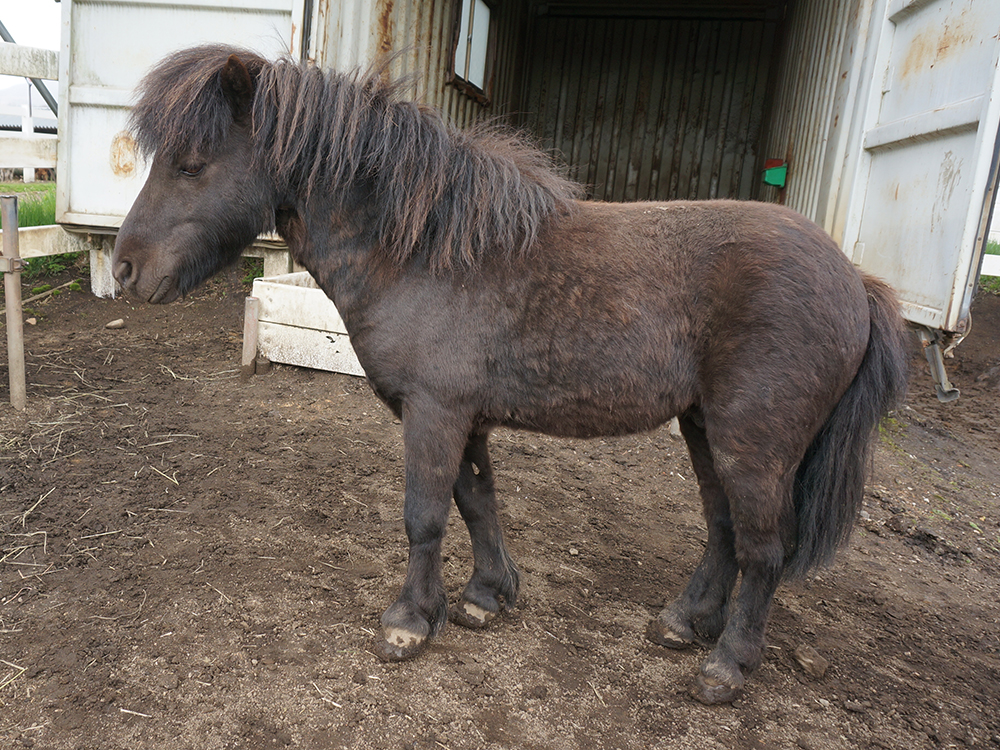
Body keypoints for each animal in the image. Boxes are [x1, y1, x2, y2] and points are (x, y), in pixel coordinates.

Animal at [113, 45, 912, 704]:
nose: (124, 270)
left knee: (763, 549)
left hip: (754, 443)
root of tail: (856, 283)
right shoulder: (457, 416)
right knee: (722, 530)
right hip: (702, 426)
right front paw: (485, 597)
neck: (426, 250)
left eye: (191, 164)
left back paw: (727, 666)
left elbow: (426, 514)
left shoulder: (435, 411)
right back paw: (685, 623)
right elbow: (476, 502)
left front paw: (409, 622)